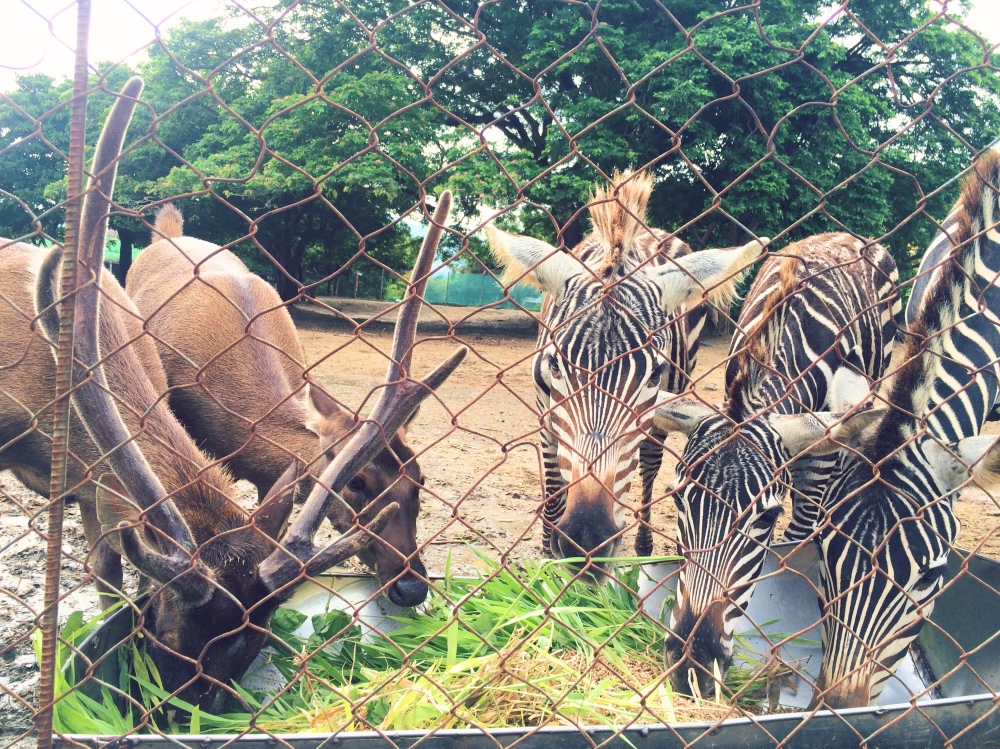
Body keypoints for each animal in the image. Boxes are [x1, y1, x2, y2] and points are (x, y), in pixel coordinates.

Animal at [486, 169, 764, 576]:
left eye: (654, 373)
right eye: (555, 364)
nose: (587, 539)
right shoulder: (545, 412)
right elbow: (553, 490)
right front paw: (548, 561)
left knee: (649, 464)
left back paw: (645, 547)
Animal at [652, 232, 904, 696]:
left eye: (765, 518)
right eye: (678, 501)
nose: (691, 665)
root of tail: (843, 235)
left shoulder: (816, 465)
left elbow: (797, 541)